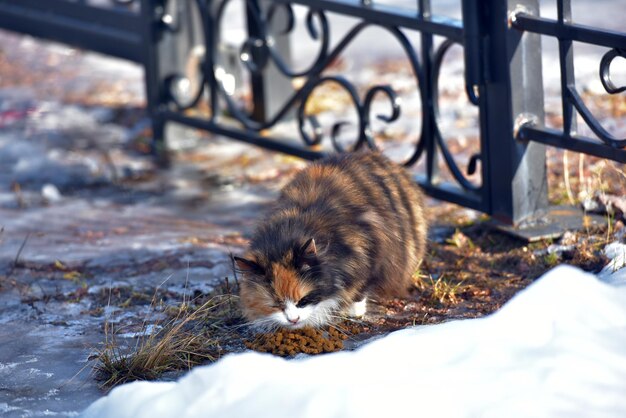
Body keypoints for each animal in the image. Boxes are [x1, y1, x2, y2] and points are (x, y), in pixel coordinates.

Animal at [232, 150, 426, 330]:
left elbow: (360, 289)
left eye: (303, 300)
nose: (293, 320)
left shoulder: (371, 253)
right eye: (277, 304)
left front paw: (354, 312)